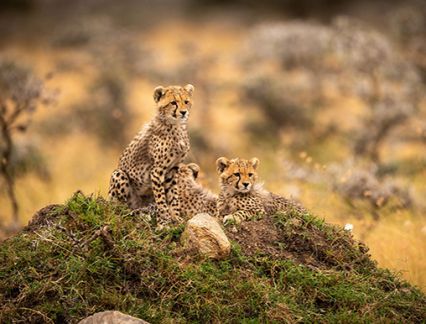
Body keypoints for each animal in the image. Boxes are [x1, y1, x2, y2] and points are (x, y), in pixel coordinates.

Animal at [110, 83, 196, 223]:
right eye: (173, 103)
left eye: (186, 102)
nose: (183, 112)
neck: (176, 126)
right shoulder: (157, 170)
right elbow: (161, 198)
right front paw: (165, 220)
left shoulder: (173, 169)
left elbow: (173, 195)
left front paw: (176, 217)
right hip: (118, 175)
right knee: (119, 207)